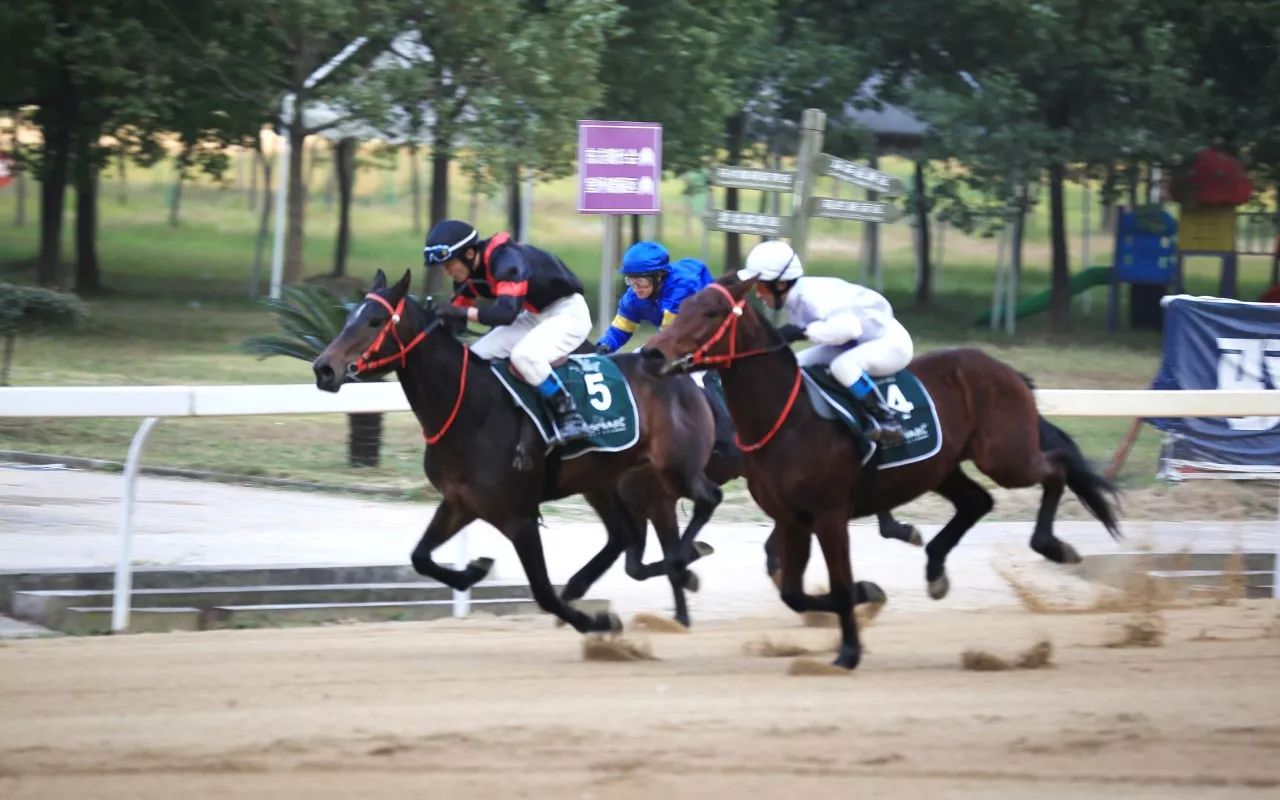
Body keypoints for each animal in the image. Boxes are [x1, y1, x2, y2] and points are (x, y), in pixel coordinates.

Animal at [311, 271, 727, 632]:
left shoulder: (519, 517)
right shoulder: (461, 502)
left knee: (706, 500)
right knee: (624, 538)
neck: (469, 408)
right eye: (349, 316)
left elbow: (542, 592)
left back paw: (685, 561)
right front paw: (474, 569)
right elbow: (420, 558)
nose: (323, 369)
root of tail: (674, 369)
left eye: (375, 321)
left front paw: (596, 622)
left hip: (672, 470)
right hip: (604, 483)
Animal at [645, 273, 1116, 665]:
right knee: (978, 501)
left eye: (711, 312)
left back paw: (1051, 545)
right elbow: (795, 593)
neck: (786, 418)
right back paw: (935, 570)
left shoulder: (829, 516)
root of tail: (1005, 369)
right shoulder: (792, 518)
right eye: (681, 307)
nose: (652, 353)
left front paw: (849, 651)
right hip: (941, 467)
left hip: (1005, 457)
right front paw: (865, 594)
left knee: (1056, 467)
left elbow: (835, 583)